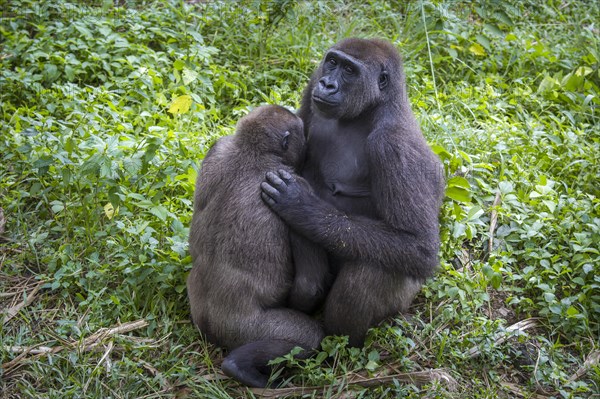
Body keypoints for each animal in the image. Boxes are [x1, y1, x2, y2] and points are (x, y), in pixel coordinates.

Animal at [189, 104, 326, 390]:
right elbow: (309, 285)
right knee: (308, 337)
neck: (251, 151)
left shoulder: (217, 147)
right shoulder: (298, 186)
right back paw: (240, 367)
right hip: (245, 330)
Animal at [262, 39, 446, 348]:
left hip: (404, 299)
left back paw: (344, 343)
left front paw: (302, 207)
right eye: (332, 63)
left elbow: (418, 246)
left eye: (350, 70)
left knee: (376, 266)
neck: (370, 109)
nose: (327, 84)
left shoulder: (392, 145)